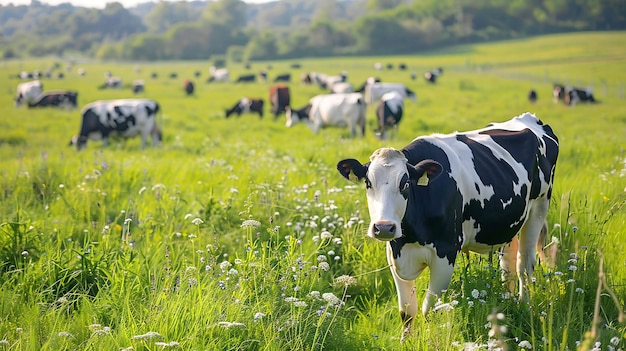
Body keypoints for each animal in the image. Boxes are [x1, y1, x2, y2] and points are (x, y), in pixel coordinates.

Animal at [334, 113, 560, 344]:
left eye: (405, 183)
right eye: (368, 183)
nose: (384, 227)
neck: (410, 237)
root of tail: (530, 119)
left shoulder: (446, 254)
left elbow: (429, 309)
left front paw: (429, 340)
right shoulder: (394, 254)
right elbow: (407, 311)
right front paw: (406, 341)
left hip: (539, 208)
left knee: (524, 264)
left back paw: (524, 305)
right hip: (509, 223)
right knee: (508, 264)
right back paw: (509, 300)